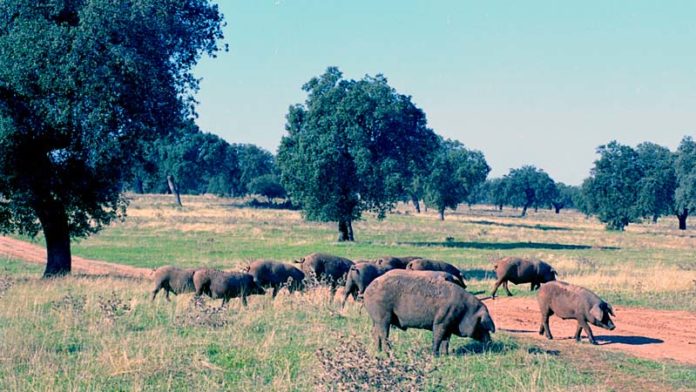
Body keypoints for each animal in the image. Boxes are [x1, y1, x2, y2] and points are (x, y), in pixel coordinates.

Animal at [364, 270, 494, 356]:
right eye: (481, 324)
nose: (490, 342)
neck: (465, 310)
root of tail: (368, 289)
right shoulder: (441, 321)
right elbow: (437, 338)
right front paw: (435, 355)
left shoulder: (449, 325)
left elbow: (446, 340)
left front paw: (446, 355)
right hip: (382, 316)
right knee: (383, 334)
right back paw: (388, 353)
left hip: (375, 318)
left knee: (375, 332)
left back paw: (378, 351)